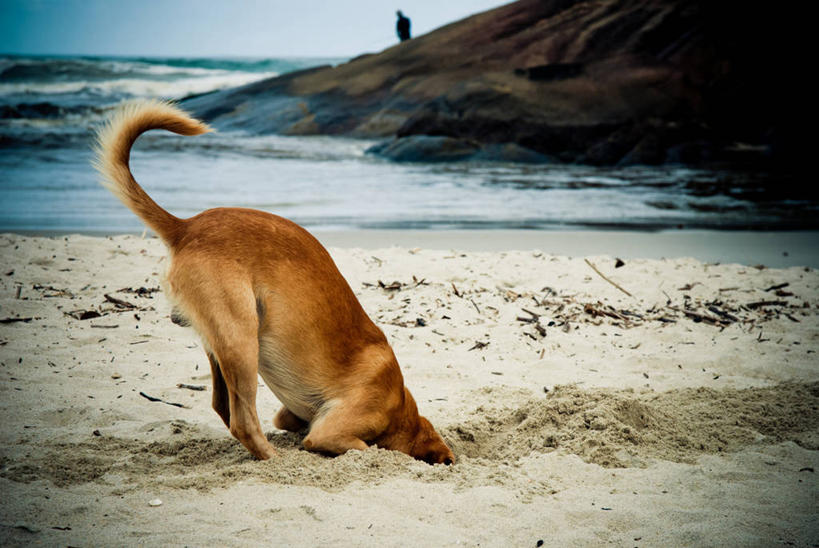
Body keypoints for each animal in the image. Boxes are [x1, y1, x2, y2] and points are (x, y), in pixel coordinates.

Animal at [94, 100, 454, 464]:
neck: (399, 404)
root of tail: (186, 227)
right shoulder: (331, 431)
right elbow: (359, 447)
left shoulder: (290, 415)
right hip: (242, 341)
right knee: (242, 421)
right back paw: (273, 458)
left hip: (220, 343)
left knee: (223, 406)